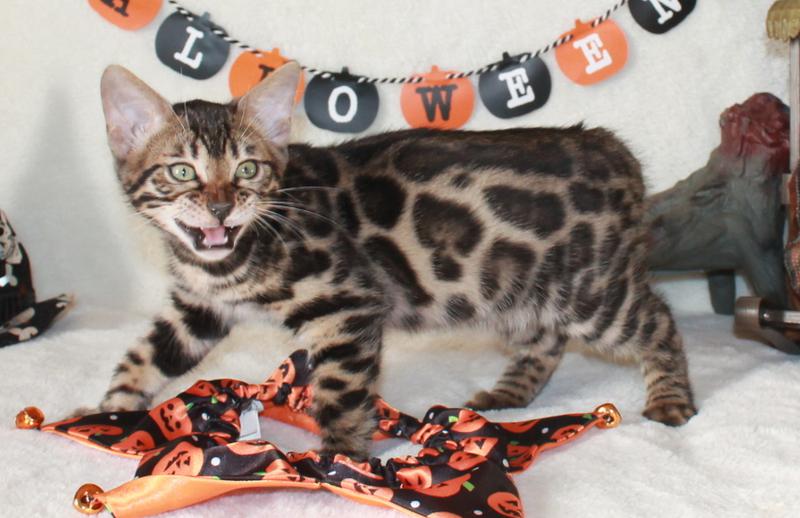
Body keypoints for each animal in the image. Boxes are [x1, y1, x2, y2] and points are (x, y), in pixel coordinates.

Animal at [92, 64, 692, 460]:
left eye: (247, 170)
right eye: (181, 172)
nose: (220, 206)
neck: (224, 263)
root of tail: (616, 150)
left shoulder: (348, 304)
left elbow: (339, 393)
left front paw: (340, 460)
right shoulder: (197, 310)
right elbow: (143, 359)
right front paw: (105, 416)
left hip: (589, 292)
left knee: (658, 321)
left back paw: (670, 401)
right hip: (514, 291)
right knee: (545, 342)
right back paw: (509, 395)